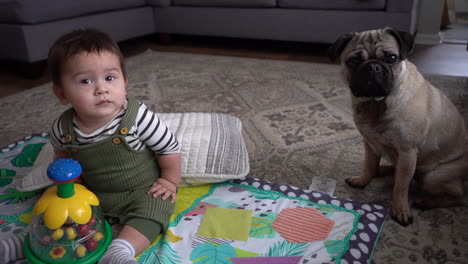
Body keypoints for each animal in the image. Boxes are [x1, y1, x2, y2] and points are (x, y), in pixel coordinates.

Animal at [328, 27, 468, 226]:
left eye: (391, 58)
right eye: (354, 61)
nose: (373, 66)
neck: (376, 104)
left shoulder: (407, 152)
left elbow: (400, 186)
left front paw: (400, 210)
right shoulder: (369, 143)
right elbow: (369, 165)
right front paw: (363, 180)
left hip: (433, 176)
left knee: (459, 197)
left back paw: (427, 201)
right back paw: (381, 170)